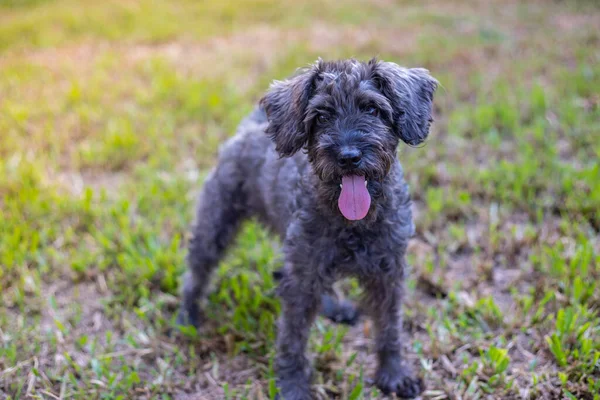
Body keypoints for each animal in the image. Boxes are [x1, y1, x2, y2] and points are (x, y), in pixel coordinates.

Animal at [176, 57, 438, 398]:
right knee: (196, 273)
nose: (348, 157)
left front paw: (394, 375)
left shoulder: (388, 275)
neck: (353, 223)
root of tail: (248, 128)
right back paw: (187, 316)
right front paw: (293, 386)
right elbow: (293, 339)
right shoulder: (302, 280)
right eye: (322, 116)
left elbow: (389, 328)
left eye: (372, 109)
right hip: (217, 223)